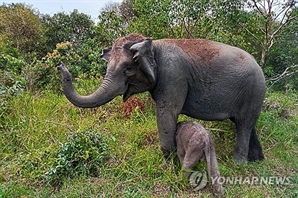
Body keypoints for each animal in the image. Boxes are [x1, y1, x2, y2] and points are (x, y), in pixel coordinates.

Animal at [57, 33, 266, 164]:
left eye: (128, 69)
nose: (60, 65)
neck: (152, 44)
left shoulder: (173, 76)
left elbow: (167, 114)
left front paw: (168, 166)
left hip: (254, 90)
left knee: (244, 124)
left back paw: (238, 164)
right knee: (246, 124)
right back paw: (256, 160)